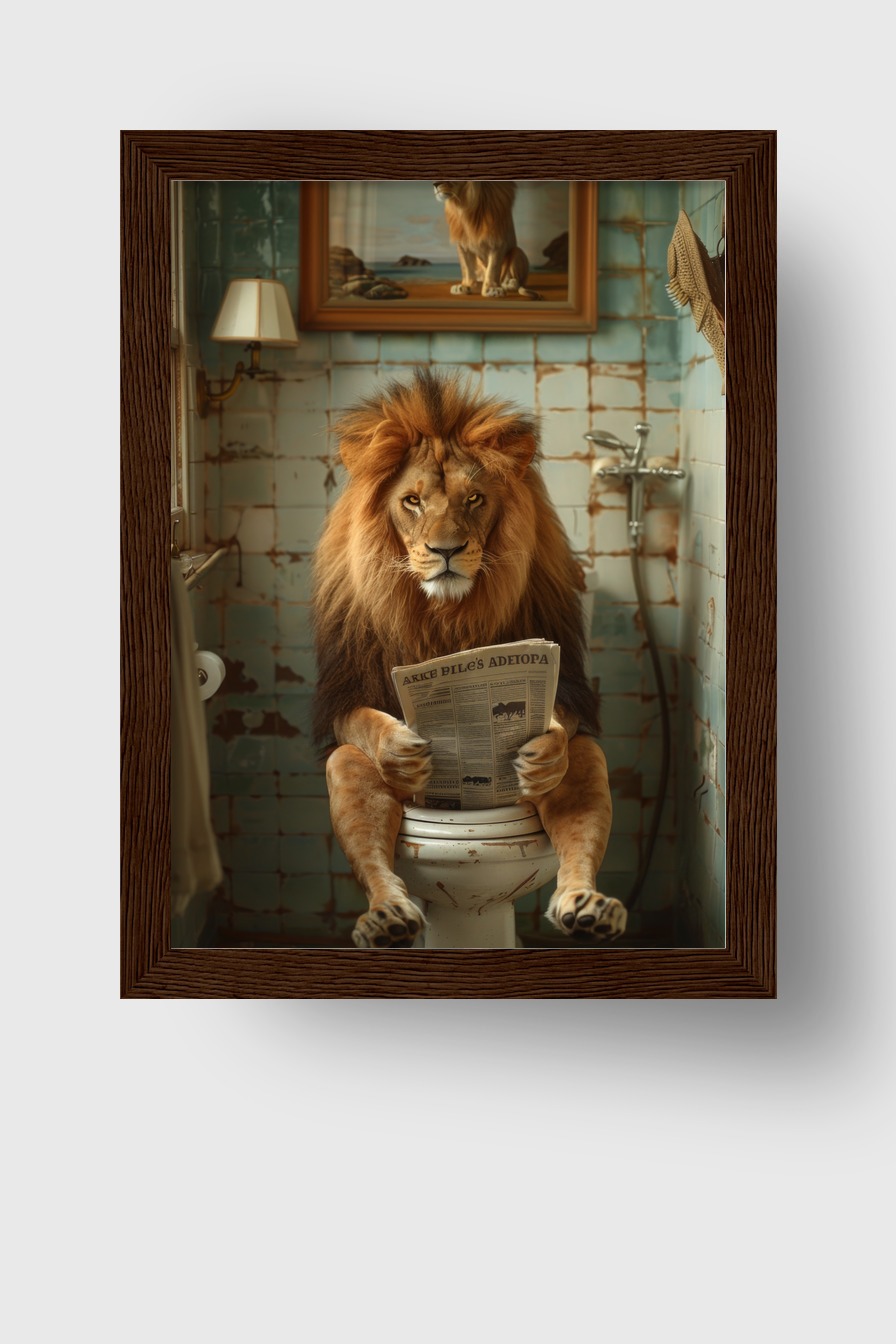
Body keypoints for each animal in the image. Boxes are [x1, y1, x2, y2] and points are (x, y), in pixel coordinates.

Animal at [311, 368, 625, 949]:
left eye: (474, 498)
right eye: (412, 501)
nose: (446, 550)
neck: (445, 615)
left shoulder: (565, 670)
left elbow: (563, 720)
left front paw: (543, 751)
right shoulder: (346, 685)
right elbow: (365, 722)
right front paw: (399, 749)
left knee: (583, 762)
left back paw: (587, 909)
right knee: (353, 778)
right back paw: (387, 919)